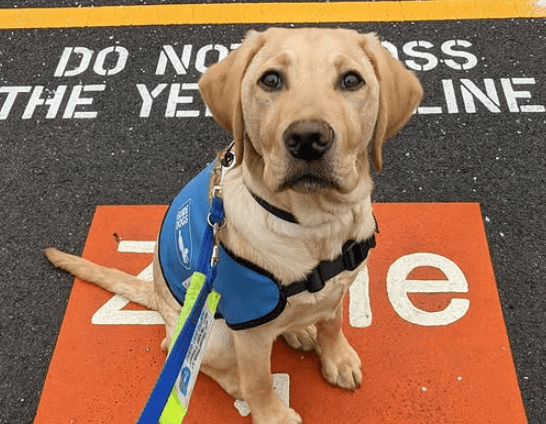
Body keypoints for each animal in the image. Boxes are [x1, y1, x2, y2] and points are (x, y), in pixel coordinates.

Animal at [44, 28, 422, 422]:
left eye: (351, 80)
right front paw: (273, 414)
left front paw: (337, 358)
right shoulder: (248, 331)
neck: (314, 224)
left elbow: (333, 324)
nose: (307, 139)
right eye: (270, 80)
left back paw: (300, 330)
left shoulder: (339, 287)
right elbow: (259, 380)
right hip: (211, 334)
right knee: (191, 357)